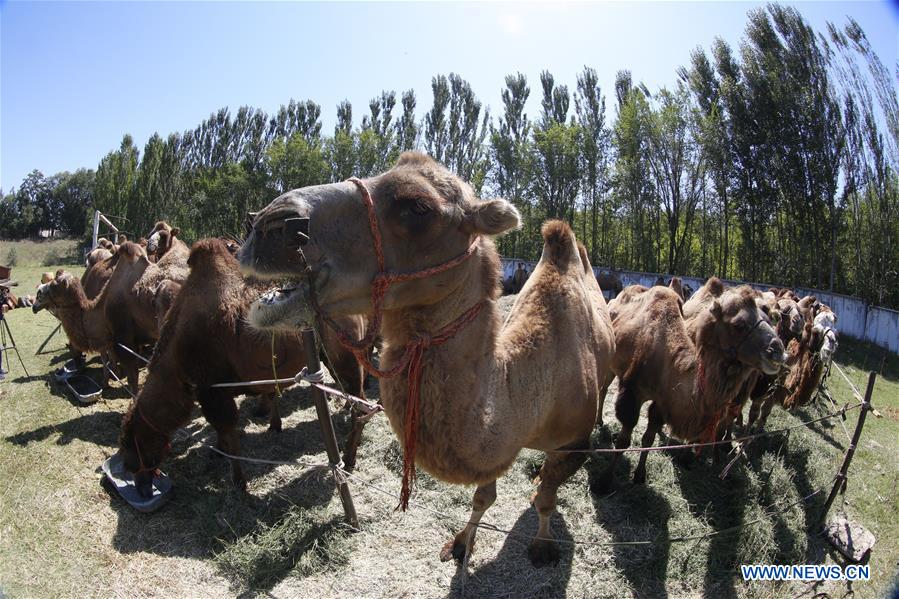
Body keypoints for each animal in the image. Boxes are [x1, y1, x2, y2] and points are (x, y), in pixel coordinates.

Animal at [118, 239, 368, 496]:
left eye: (131, 444)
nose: (139, 484)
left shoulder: (213, 390)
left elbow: (230, 437)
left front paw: (239, 482)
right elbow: (226, 428)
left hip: (344, 355)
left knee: (361, 405)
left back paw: (348, 459)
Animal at [239, 154, 620, 568]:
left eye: (418, 207)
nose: (268, 224)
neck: (533, 397)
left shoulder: (573, 444)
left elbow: (546, 499)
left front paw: (543, 547)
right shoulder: (493, 449)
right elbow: (484, 495)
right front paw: (460, 544)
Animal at [596, 286, 788, 492]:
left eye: (769, 319)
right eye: (739, 325)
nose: (778, 350)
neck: (666, 358)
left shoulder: (662, 401)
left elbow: (649, 438)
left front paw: (640, 475)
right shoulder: (632, 392)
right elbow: (623, 440)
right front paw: (604, 481)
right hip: (610, 363)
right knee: (603, 389)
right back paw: (599, 421)